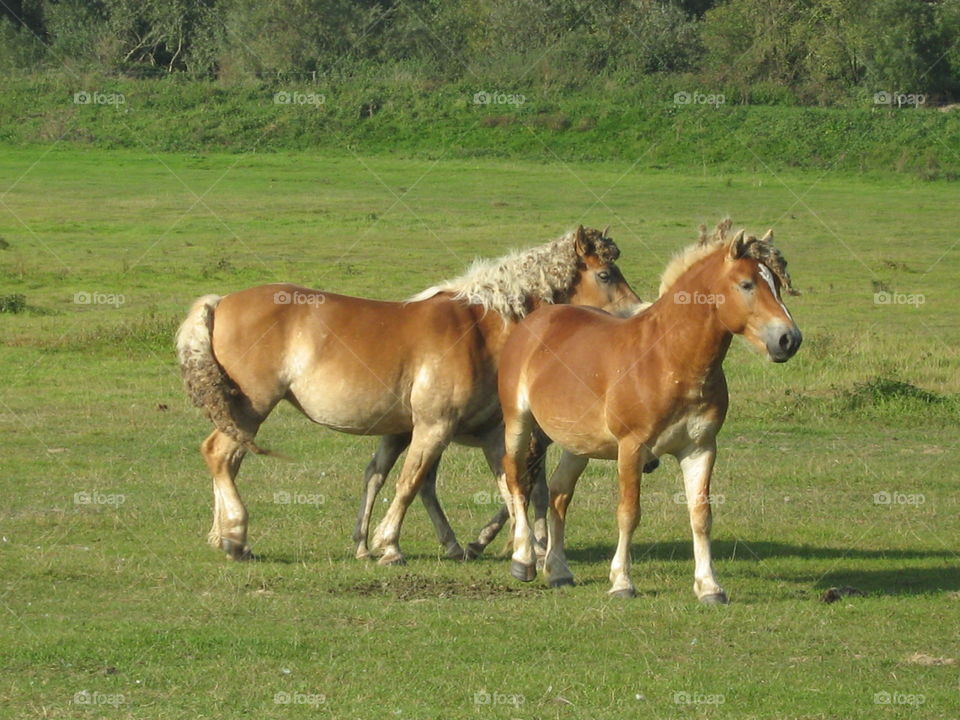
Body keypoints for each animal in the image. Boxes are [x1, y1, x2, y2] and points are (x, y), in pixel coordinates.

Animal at [176, 226, 645, 564]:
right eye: (605, 275)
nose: (639, 314)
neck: (480, 328)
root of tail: (221, 301)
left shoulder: (493, 434)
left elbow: (511, 486)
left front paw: (520, 547)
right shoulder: (434, 428)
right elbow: (408, 482)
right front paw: (388, 546)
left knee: (227, 460)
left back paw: (224, 535)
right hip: (251, 408)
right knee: (219, 455)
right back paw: (235, 537)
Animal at [497, 219, 801, 602]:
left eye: (776, 283)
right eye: (747, 284)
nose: (789, 339)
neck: (670, 359)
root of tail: (537, 319)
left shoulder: (700, 448)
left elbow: (701, 515)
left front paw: (709, 586)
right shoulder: (631, 448)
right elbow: (629, 513)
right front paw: (622, 582)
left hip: (577, 443)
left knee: (559, 494)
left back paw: (559, 570)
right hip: (518, 423)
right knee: (516, 479)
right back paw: (523, 560)